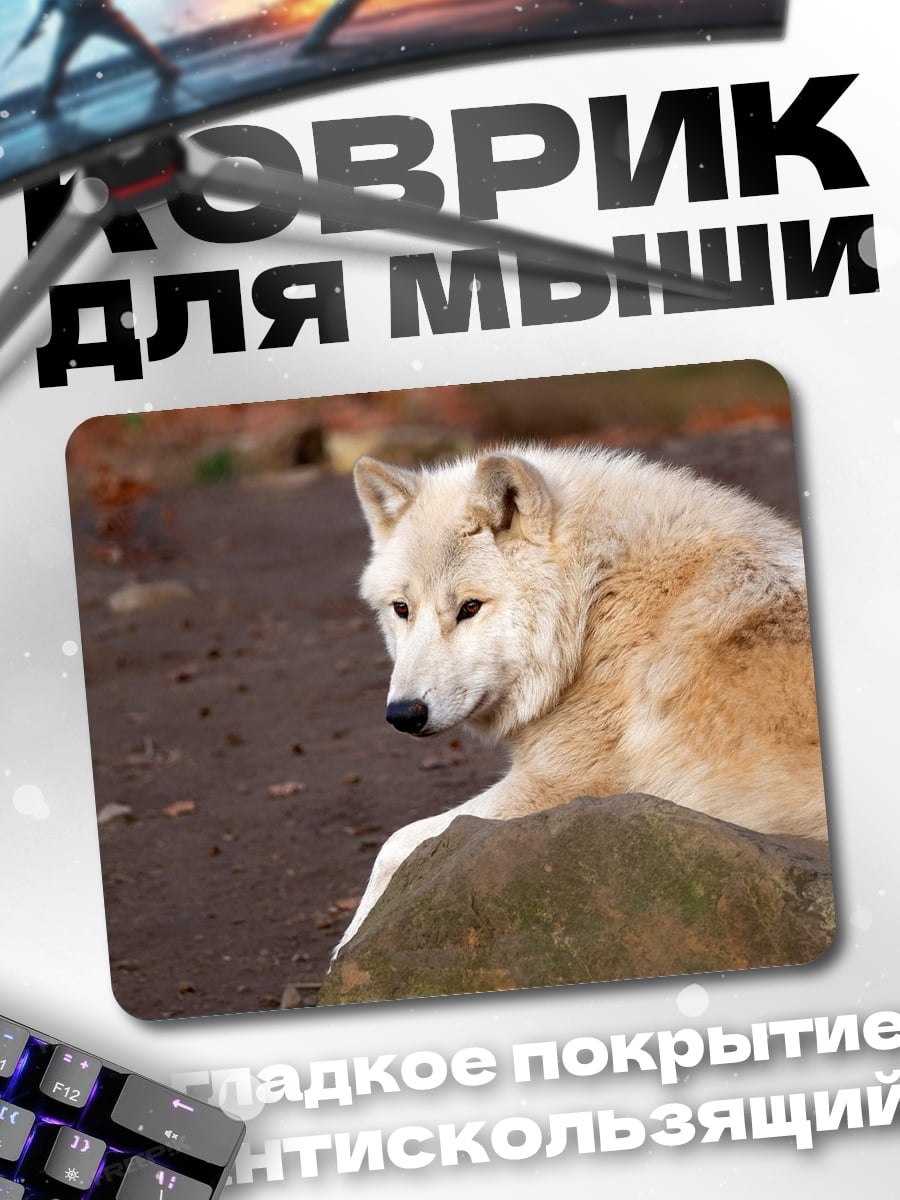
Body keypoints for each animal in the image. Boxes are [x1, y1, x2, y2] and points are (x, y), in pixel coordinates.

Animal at [335, 443, 827, 954]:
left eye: (469, 607)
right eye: (402, 609)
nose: (403, 714)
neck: (595, 605)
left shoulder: (556, 788)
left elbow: (393, 847)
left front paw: (346, 947)